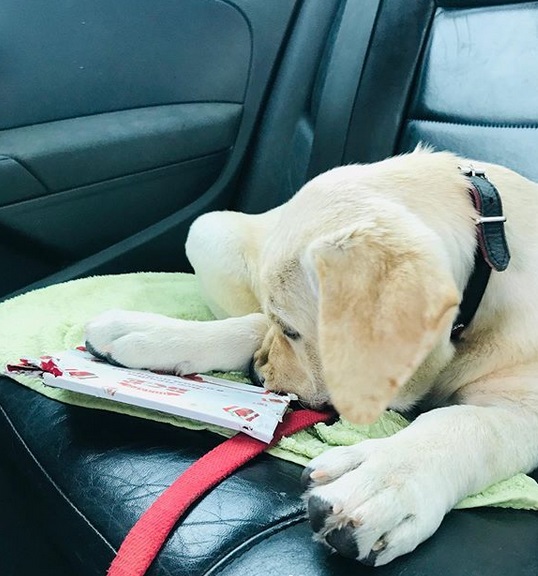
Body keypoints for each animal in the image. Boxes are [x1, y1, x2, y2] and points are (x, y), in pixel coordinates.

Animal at [84, 150, 536, 568]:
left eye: (291, 329)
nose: (255, 373)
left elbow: (464, 423)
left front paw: (382, 480)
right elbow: (252, 323)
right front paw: (151, 333)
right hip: (208, 231)